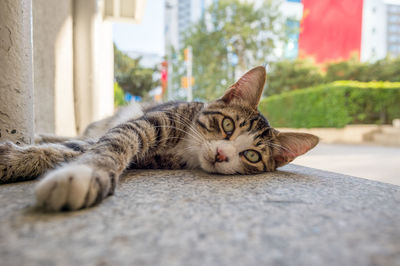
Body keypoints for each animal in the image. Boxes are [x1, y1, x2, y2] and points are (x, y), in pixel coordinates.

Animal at [0, 66, 318, 212]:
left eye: (251, 155)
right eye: (227, 125)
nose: (221, 155)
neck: (187, 146)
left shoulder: (153, 158)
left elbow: (73, 149)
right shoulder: (145, 123)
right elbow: (108, 142)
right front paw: (83, 173)